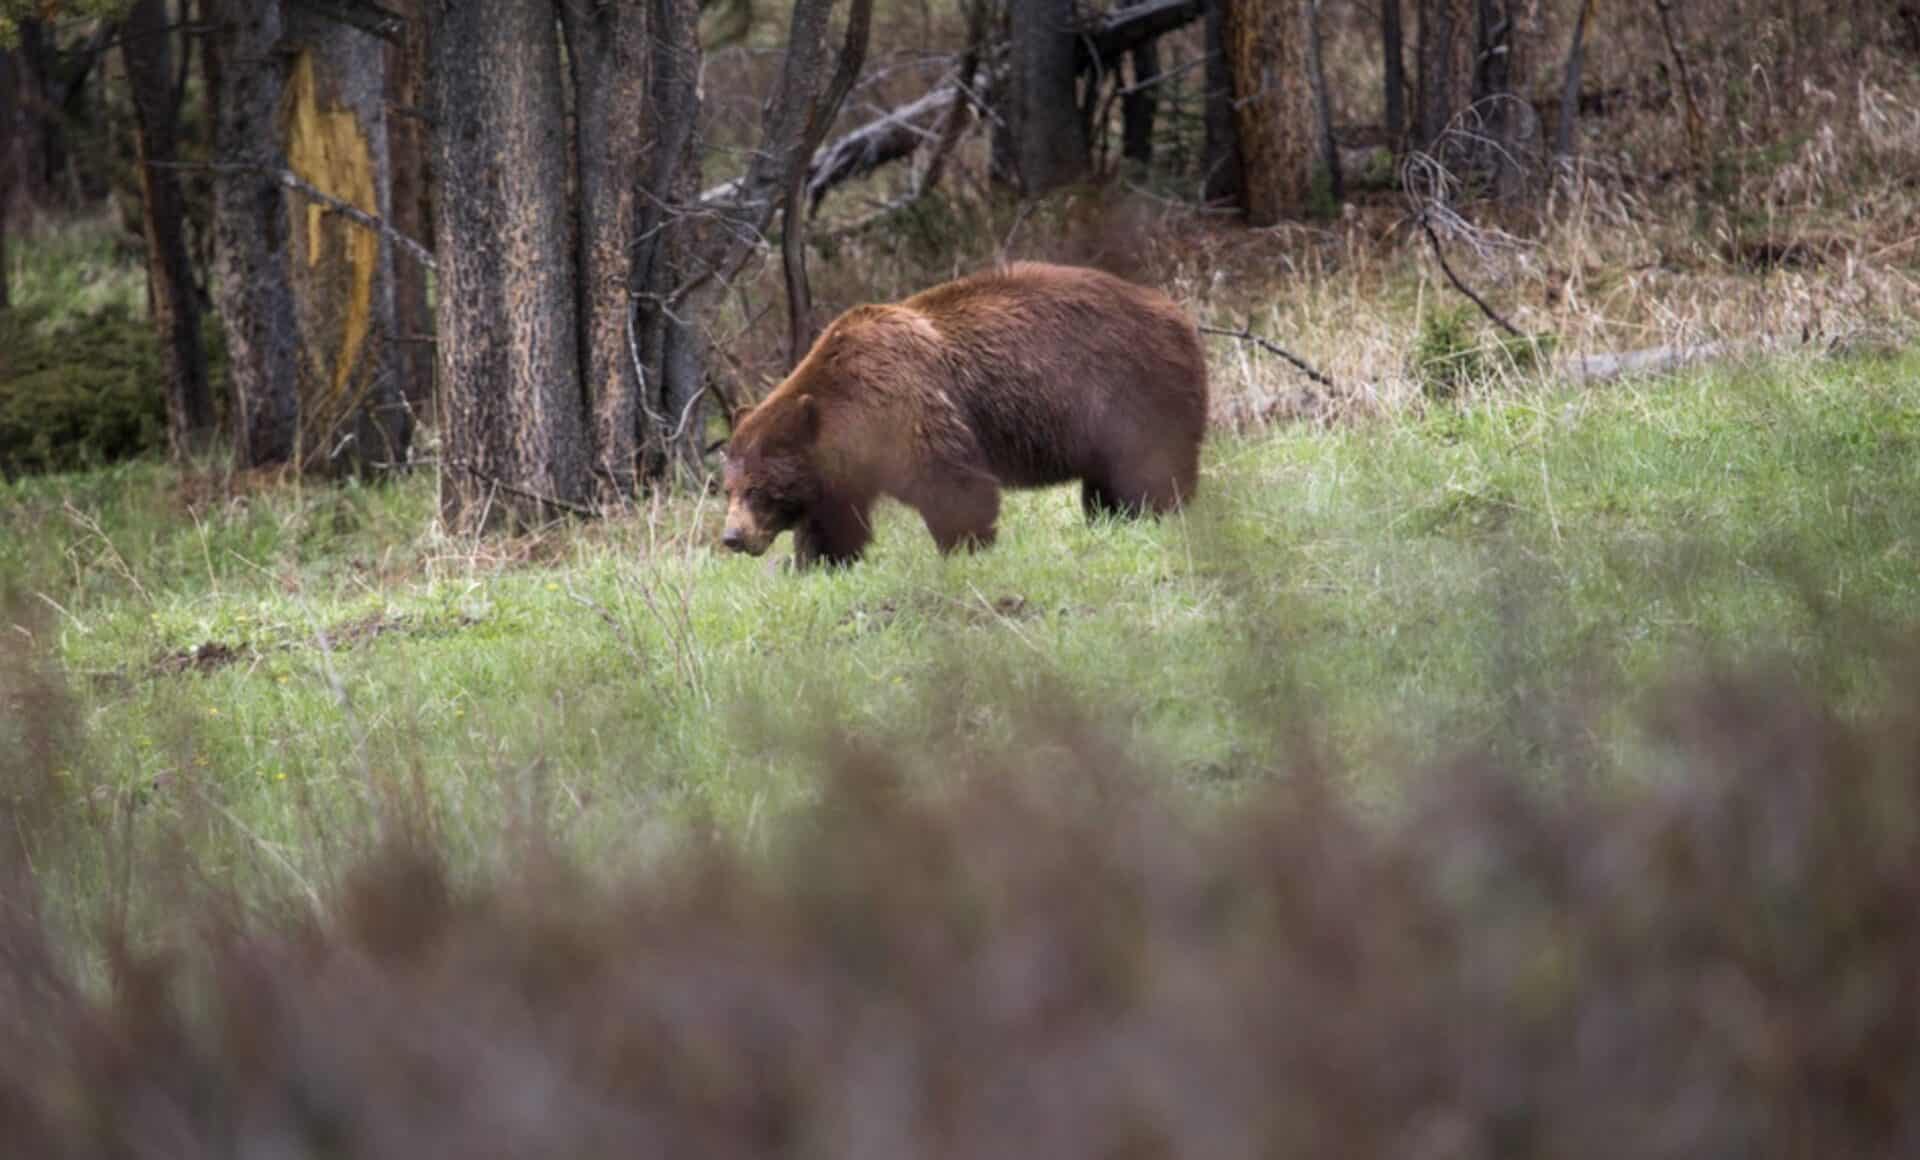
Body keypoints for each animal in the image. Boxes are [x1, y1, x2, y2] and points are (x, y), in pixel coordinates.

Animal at [719, 261, 1209, 569]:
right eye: (728, 488)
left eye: (757, 489)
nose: (732, 537)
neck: (851, 416)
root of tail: (1178, 313)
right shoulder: (840, 472)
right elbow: (833, 523)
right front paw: (820, 563)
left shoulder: (908, 407)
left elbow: (953, 485)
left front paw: (965, 548)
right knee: (1106, 484)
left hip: (1136, 390)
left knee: (1154, 467)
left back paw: (1162, 512)